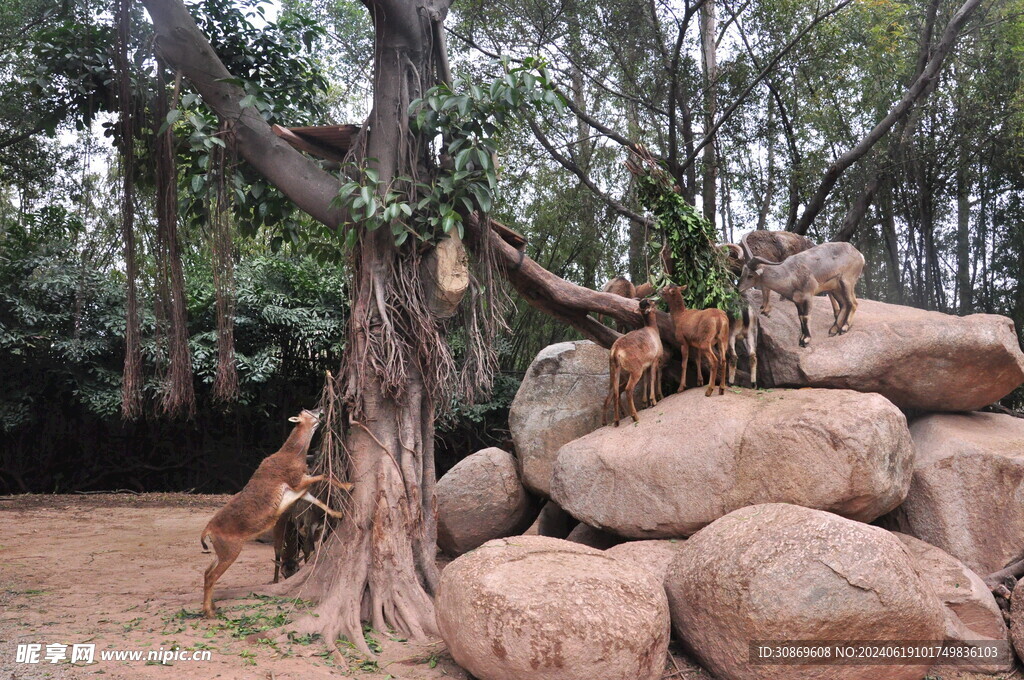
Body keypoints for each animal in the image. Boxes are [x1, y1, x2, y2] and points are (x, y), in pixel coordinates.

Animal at [198, 405, 352, 618]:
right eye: (306, 411)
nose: (321, 408)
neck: (293, 456)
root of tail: (208, 531)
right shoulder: (297, 481)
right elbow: (325, 475)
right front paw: (350, 484)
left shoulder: (300, 491)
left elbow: (318, 500)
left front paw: (338, 513)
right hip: (231, 550)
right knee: (212, 575)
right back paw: (209, 612)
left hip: (220, 551)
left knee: (206, 572)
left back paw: (212, 606)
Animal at [602, 296, 667, 426]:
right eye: (651, 302)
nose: (657, 299)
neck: (652, 329)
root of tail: (616, 351)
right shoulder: (654, 361)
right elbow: (652, 379)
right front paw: (653, 401)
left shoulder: (646, 366)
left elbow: (646, 381)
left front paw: (645, 403)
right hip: (635, 371)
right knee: (628, 389)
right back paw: (635, 416)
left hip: (614, 371)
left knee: (614, 392)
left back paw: (614, 421)